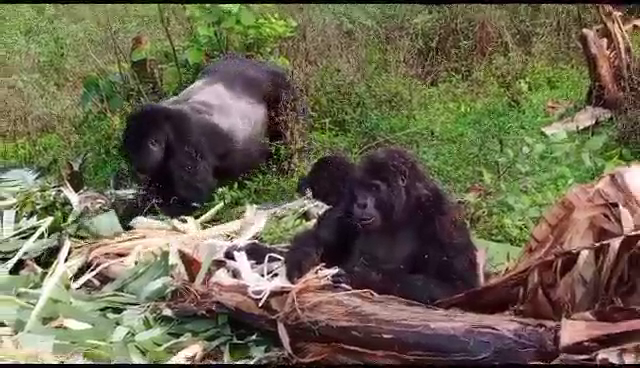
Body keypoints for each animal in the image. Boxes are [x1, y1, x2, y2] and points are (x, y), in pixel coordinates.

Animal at [123, 54, 310, 216]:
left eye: (152, 143)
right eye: (130, 150)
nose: (139, 168)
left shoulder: (185, 137)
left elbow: (193, 195)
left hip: (282, 88)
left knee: (287, 133)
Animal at [228, 146, 482, 304]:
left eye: (374, 188)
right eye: (361, 188)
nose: (361, 203)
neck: (403, 208)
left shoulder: (444, 219)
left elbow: (456, 287)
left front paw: (363, 278)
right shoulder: (345, 202)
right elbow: (321, 241)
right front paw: (301, 259)